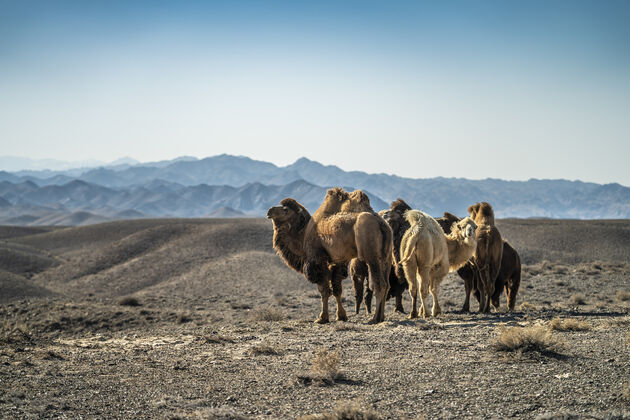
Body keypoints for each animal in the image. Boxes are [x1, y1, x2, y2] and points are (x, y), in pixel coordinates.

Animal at [266, 188, 396, 324]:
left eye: (285, 209)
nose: (270, 210)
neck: (303, 236)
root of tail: (382, 225)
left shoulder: (317, 260)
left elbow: (324, 290)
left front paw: (322, 318)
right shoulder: (337, 261)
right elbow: (337, 289)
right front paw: (341, 316)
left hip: (372, 256)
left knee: (380, 284)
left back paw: (375, 318)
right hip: (386, 257)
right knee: (387, 284)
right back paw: (381, 317)